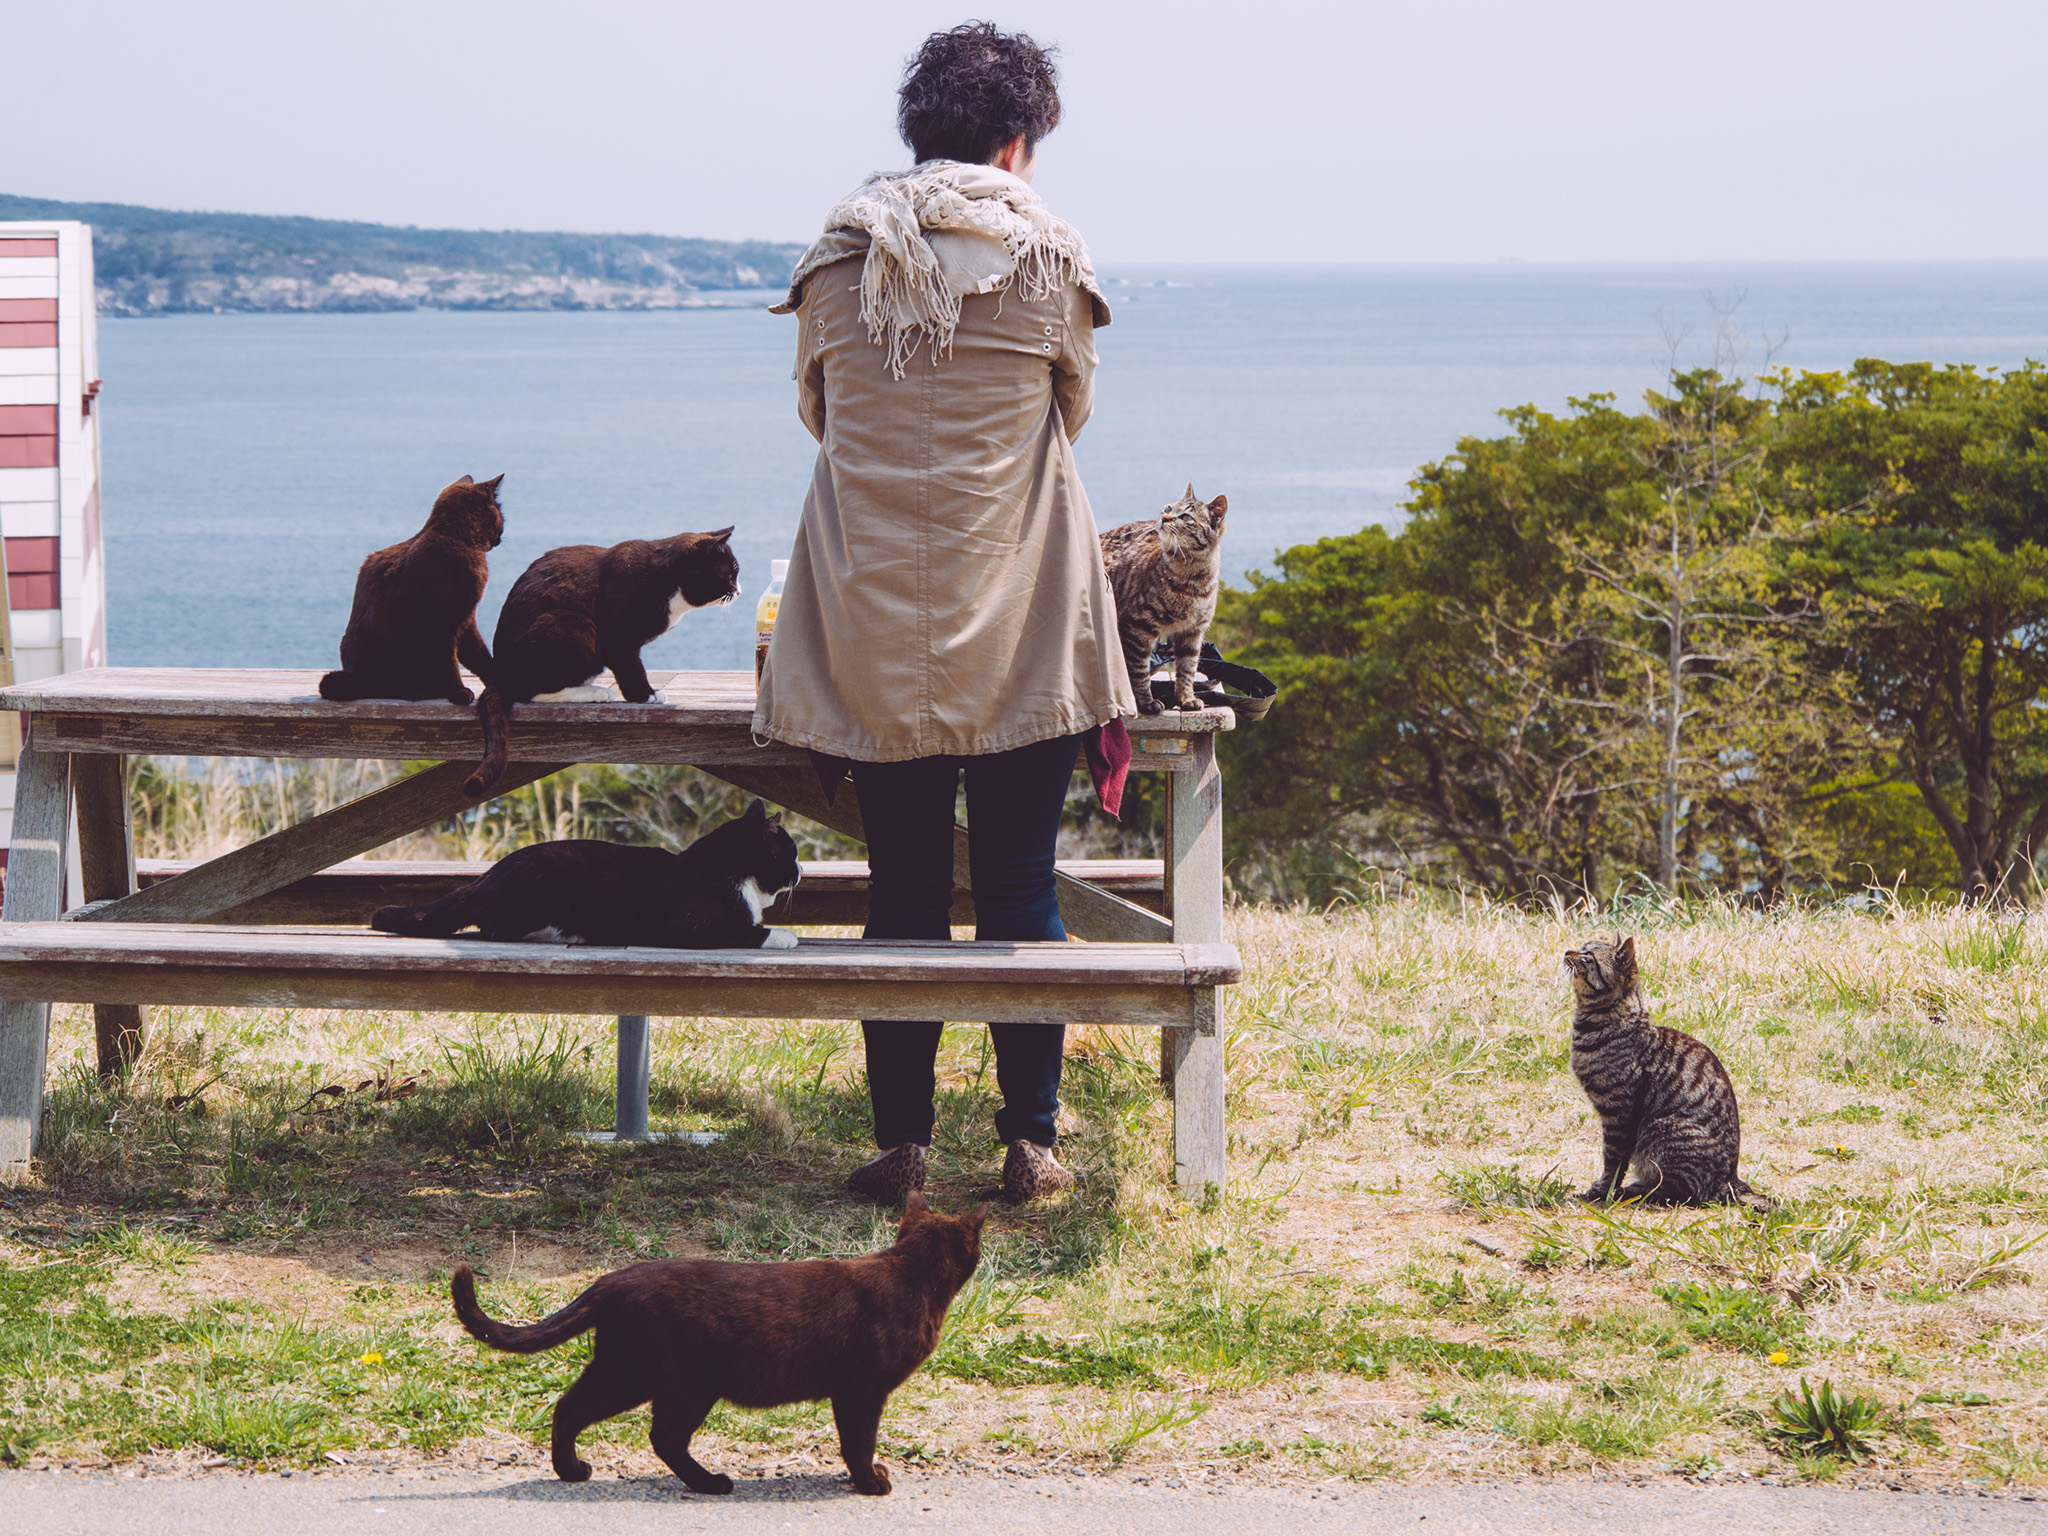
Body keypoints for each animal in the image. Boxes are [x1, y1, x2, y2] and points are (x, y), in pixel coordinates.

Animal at [323, 473, 512, 708]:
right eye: (501, 517)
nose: (501, 536)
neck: (455, 536)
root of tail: (359, 679)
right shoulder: (445, 623)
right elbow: (450, 662)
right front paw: (458, 692)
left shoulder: (466, 619)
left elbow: (479, 655)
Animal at [456, 1187, 983, 1507]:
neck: (911, 1272)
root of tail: (611, 1279)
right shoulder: (862, 1390)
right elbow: (858, 1441)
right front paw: (870, 1482)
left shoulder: (851, 1391)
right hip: (661, 1381)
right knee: (648, 1432)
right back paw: (706, 1482)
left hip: (636, 1375)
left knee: (582, 1410)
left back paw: (575, 1472)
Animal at [466, 528, 745, 798]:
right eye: (732, 573)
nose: (739, 591)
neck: (669, 582)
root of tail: (501, 677)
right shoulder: (618, 637)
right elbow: (631, 668)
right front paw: (646, 695)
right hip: (572, 624)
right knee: (532, 691)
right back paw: (595, 692)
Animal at [1105, 483, 1228, 720]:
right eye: (1169, 508)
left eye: (1186, 517)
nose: (1165, 517)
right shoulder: (1137, 629)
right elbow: (1139, 671)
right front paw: (1145, 702)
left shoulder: (1192, 633)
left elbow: (1187, 669)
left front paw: (1186, 697)